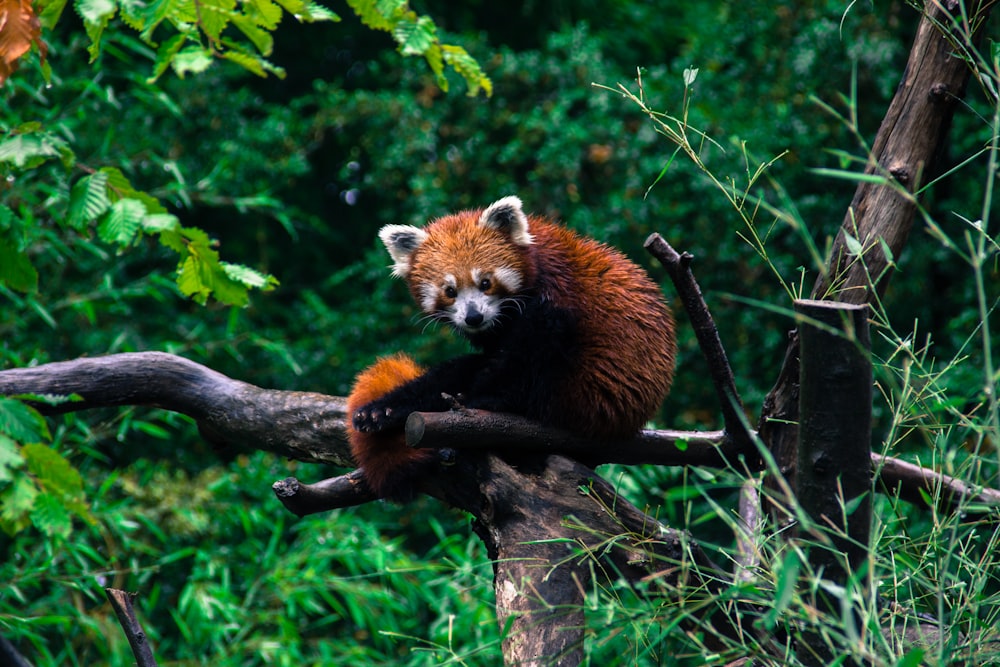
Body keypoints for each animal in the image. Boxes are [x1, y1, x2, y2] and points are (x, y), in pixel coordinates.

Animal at [348, 196, 676, 498]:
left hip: (582, 388)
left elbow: (529, 347)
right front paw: (383, 410)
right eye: (450, 291)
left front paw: (480, 398)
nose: (474, 317)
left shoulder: (558, 294)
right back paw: (387, 410)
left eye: (485, 282)